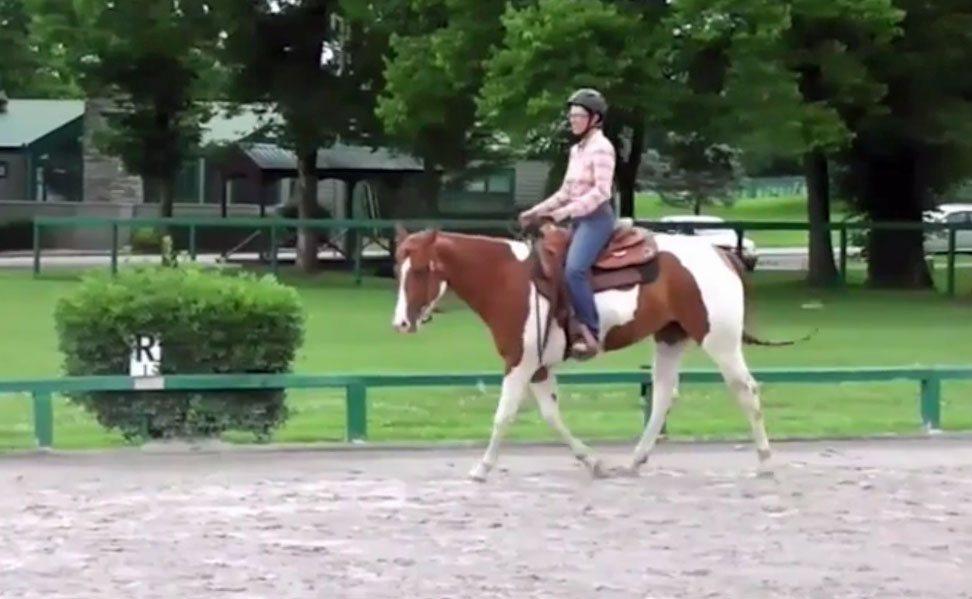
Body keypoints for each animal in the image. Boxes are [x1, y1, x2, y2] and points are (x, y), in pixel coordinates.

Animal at [390, 217, 811, 482]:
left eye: (422, 270)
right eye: (398, 269)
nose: (400, 324)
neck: (509, 280)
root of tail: (721, 254)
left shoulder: (519, 363)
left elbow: (503, 416)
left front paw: (481, 469)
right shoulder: (538, 367)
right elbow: (551, 415)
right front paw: (593, 462)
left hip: (720, 341)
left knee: (746, 390)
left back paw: (765, 462)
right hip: (670, 338)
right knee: (663, 395)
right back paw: (635, 460)